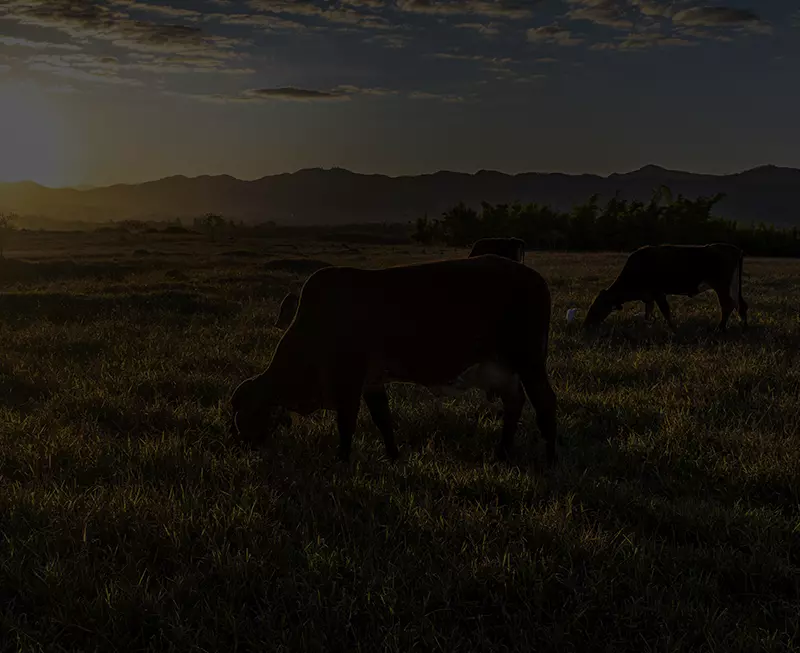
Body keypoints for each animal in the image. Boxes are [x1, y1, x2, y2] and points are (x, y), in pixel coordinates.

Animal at [231, 253, 556, 464]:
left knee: (545, 402)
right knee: (515, 402)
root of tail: (536, 278)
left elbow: (346, 423)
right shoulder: (371, 381)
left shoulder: (348, 381)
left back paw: (552, 456)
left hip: (528, 360)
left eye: (245, 413)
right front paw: (393, 455)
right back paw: (502, 452)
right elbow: (382, 419)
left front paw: (342, 460)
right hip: (504, 370)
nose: (243, 446)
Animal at [580, 242, 752, 332]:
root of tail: (735, 249)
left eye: (596, 307)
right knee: (741, 305)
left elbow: (665, 311)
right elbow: (648, 312)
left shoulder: (658, 292)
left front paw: (673, 329)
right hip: (734, 286)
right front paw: (647, 326)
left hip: (722, 286)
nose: (586, 325)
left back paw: (720, 328)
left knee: (728, 305)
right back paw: (743, 327)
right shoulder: (648, 296)